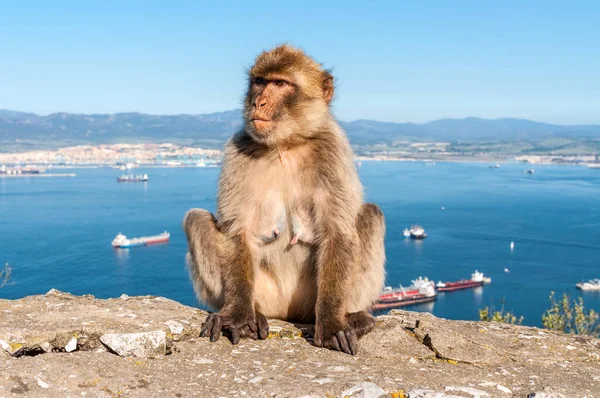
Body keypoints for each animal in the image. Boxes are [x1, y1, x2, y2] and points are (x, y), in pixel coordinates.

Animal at [183, 44, 386, 354]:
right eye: (259, 82)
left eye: (280, 84)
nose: (259, 103)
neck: (285, 144)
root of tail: (288, 313)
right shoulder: (238, 149)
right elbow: (238, 231)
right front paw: (237, 316)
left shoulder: (333, 149)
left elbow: (337, 231)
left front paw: (332, 323)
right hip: (266, 293)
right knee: (196, 220)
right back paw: (254, 314)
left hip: (309, 299)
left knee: (371, 215)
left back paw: (353, 316)